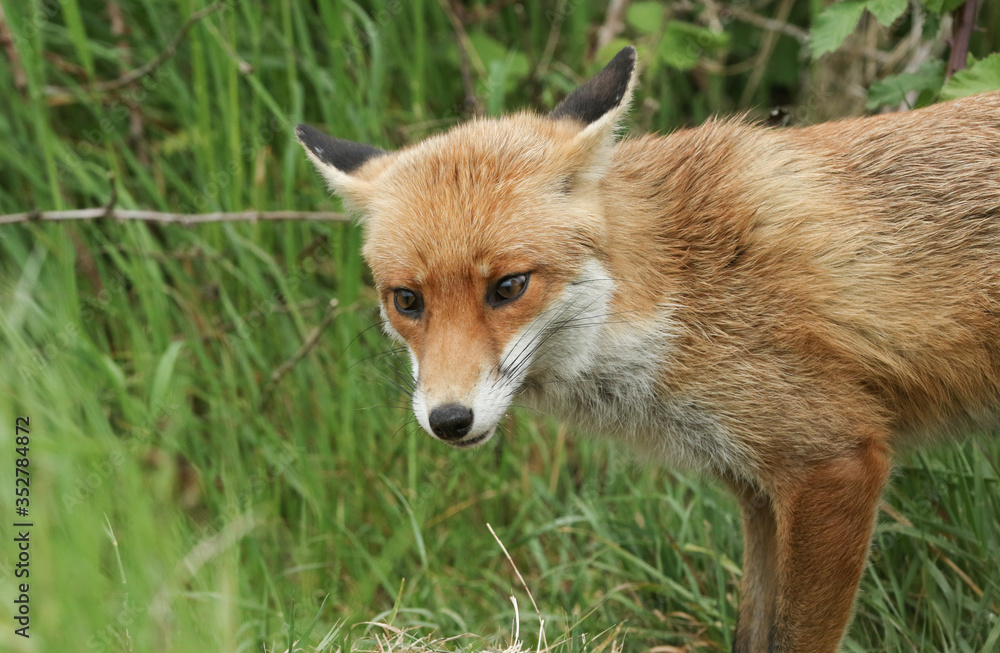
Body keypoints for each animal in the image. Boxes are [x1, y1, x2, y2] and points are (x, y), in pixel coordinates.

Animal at [297, 46, 1000, 652]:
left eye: (509, 286)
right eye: (407, 300)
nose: (449, 420)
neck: (683, 291)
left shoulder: (833, 461)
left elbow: (792, 639)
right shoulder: (759, 492)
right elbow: (752, 634)